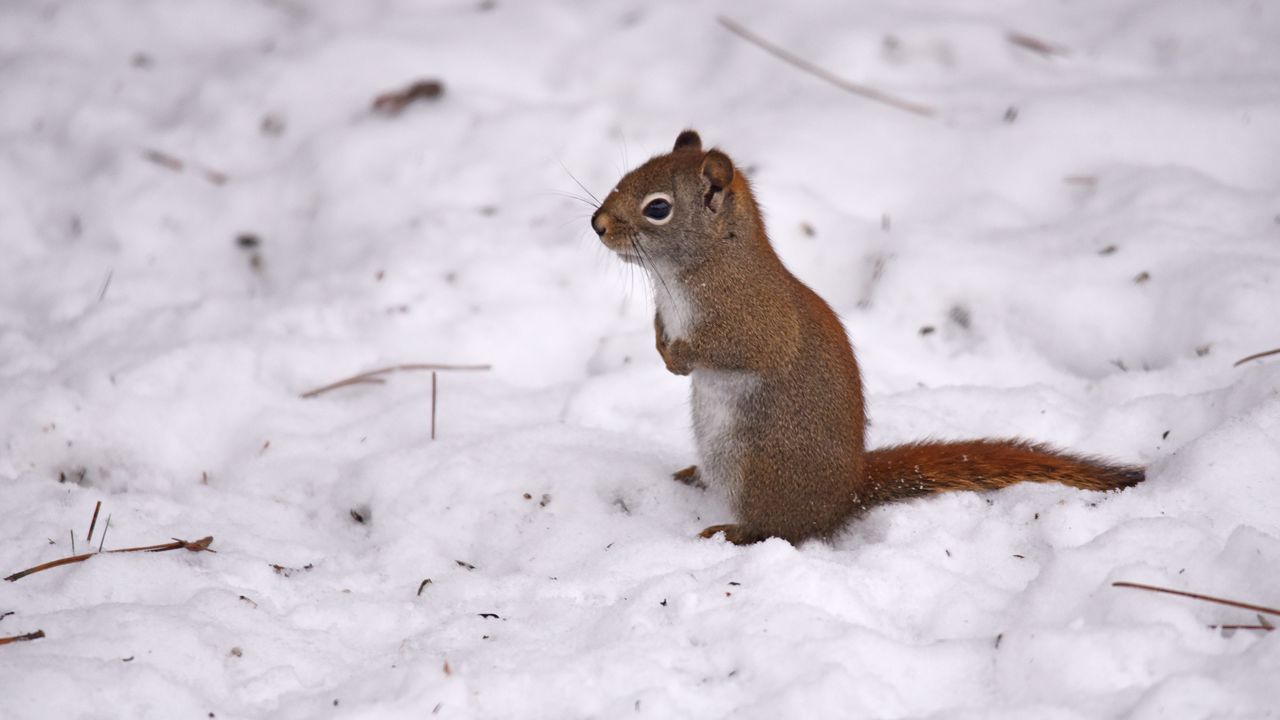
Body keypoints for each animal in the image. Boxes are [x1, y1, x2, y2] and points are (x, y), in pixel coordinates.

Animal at [591, 130, 1152, 543]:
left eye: (658, 208)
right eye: (626, 177)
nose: (597, 224)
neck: (691, 271)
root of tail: (847, 494)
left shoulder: (755, 320)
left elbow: (733, 349)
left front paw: (681, 357)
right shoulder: (666, 310)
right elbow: (659, 329)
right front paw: (662, 349)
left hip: (760, 471)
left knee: (786, 530)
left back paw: (734, 530)